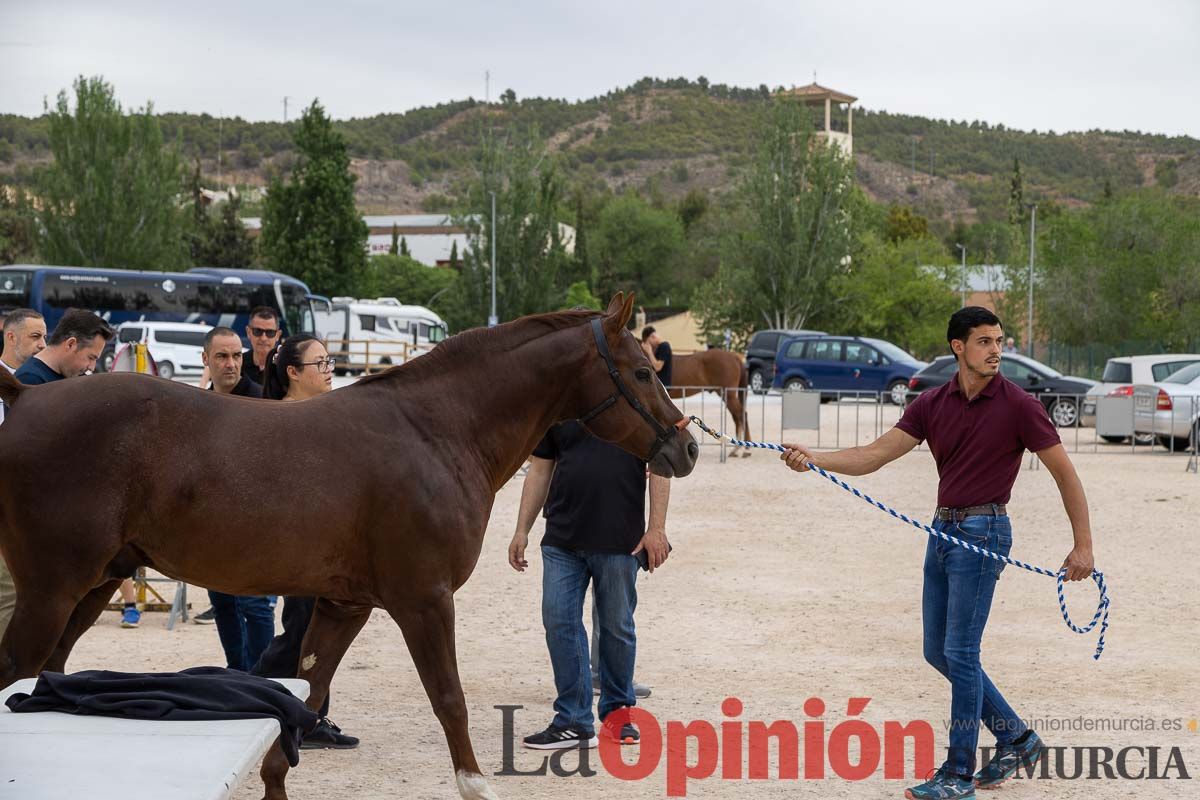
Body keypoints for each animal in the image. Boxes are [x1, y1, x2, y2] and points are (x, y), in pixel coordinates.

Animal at [0, 293, 700, 800]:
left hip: (91, 589)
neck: (438, 430)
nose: (687, 447)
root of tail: (25, 395)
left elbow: (303, 700)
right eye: (643, 371)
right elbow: (449, 700)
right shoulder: (424, 601)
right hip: (51, 592)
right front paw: (476, 785)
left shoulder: (345, 606)